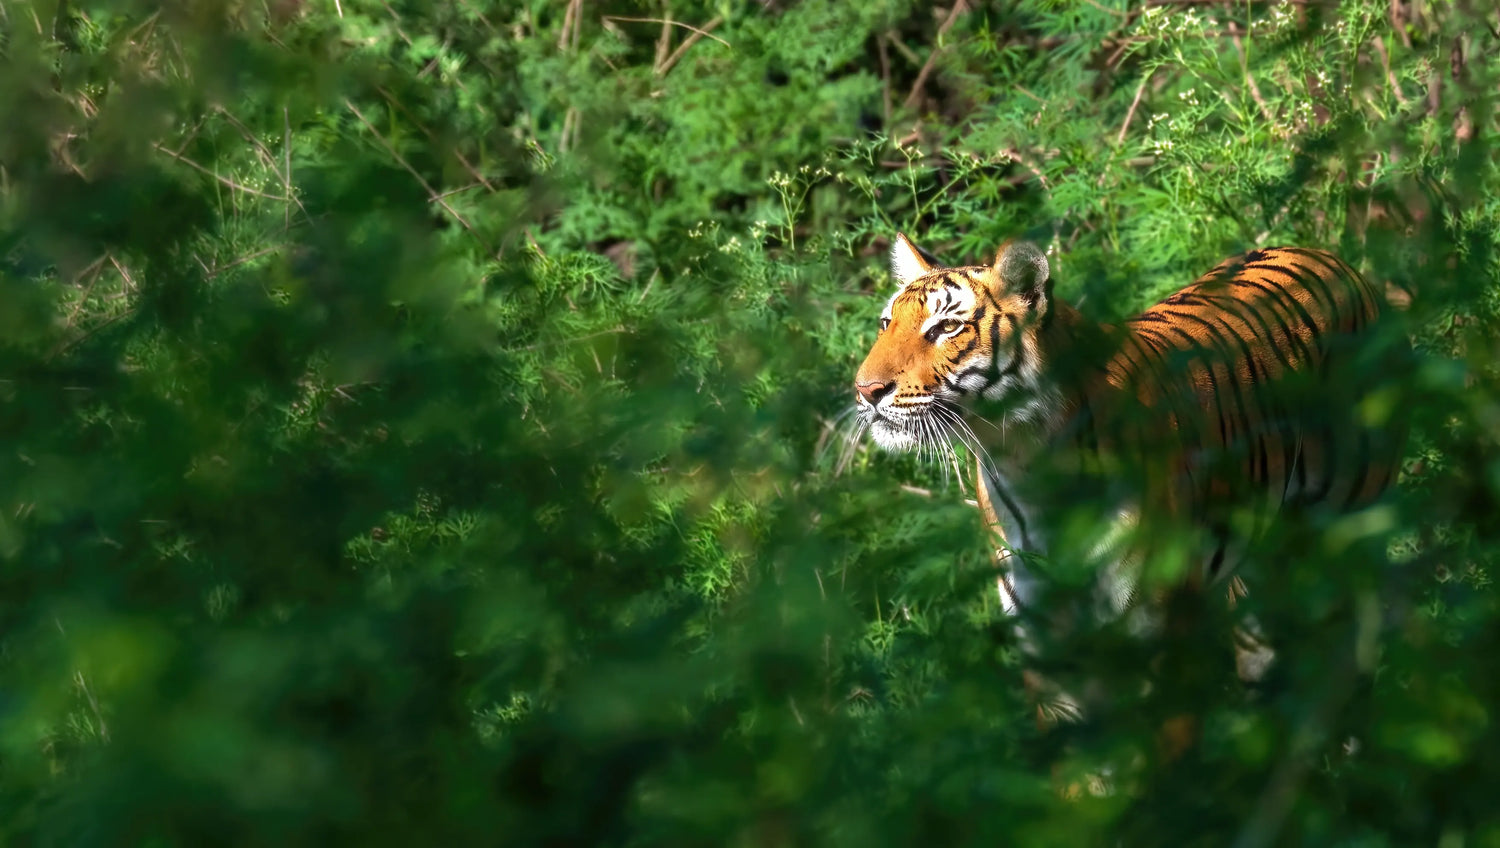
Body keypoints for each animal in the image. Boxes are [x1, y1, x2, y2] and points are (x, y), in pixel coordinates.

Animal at [851, 233, 1408, 732]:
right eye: (886, 323)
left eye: (946, 327)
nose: (865, 389)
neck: (1025, 462)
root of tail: (1331, 258)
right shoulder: (1049, 651)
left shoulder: (1158, 643)